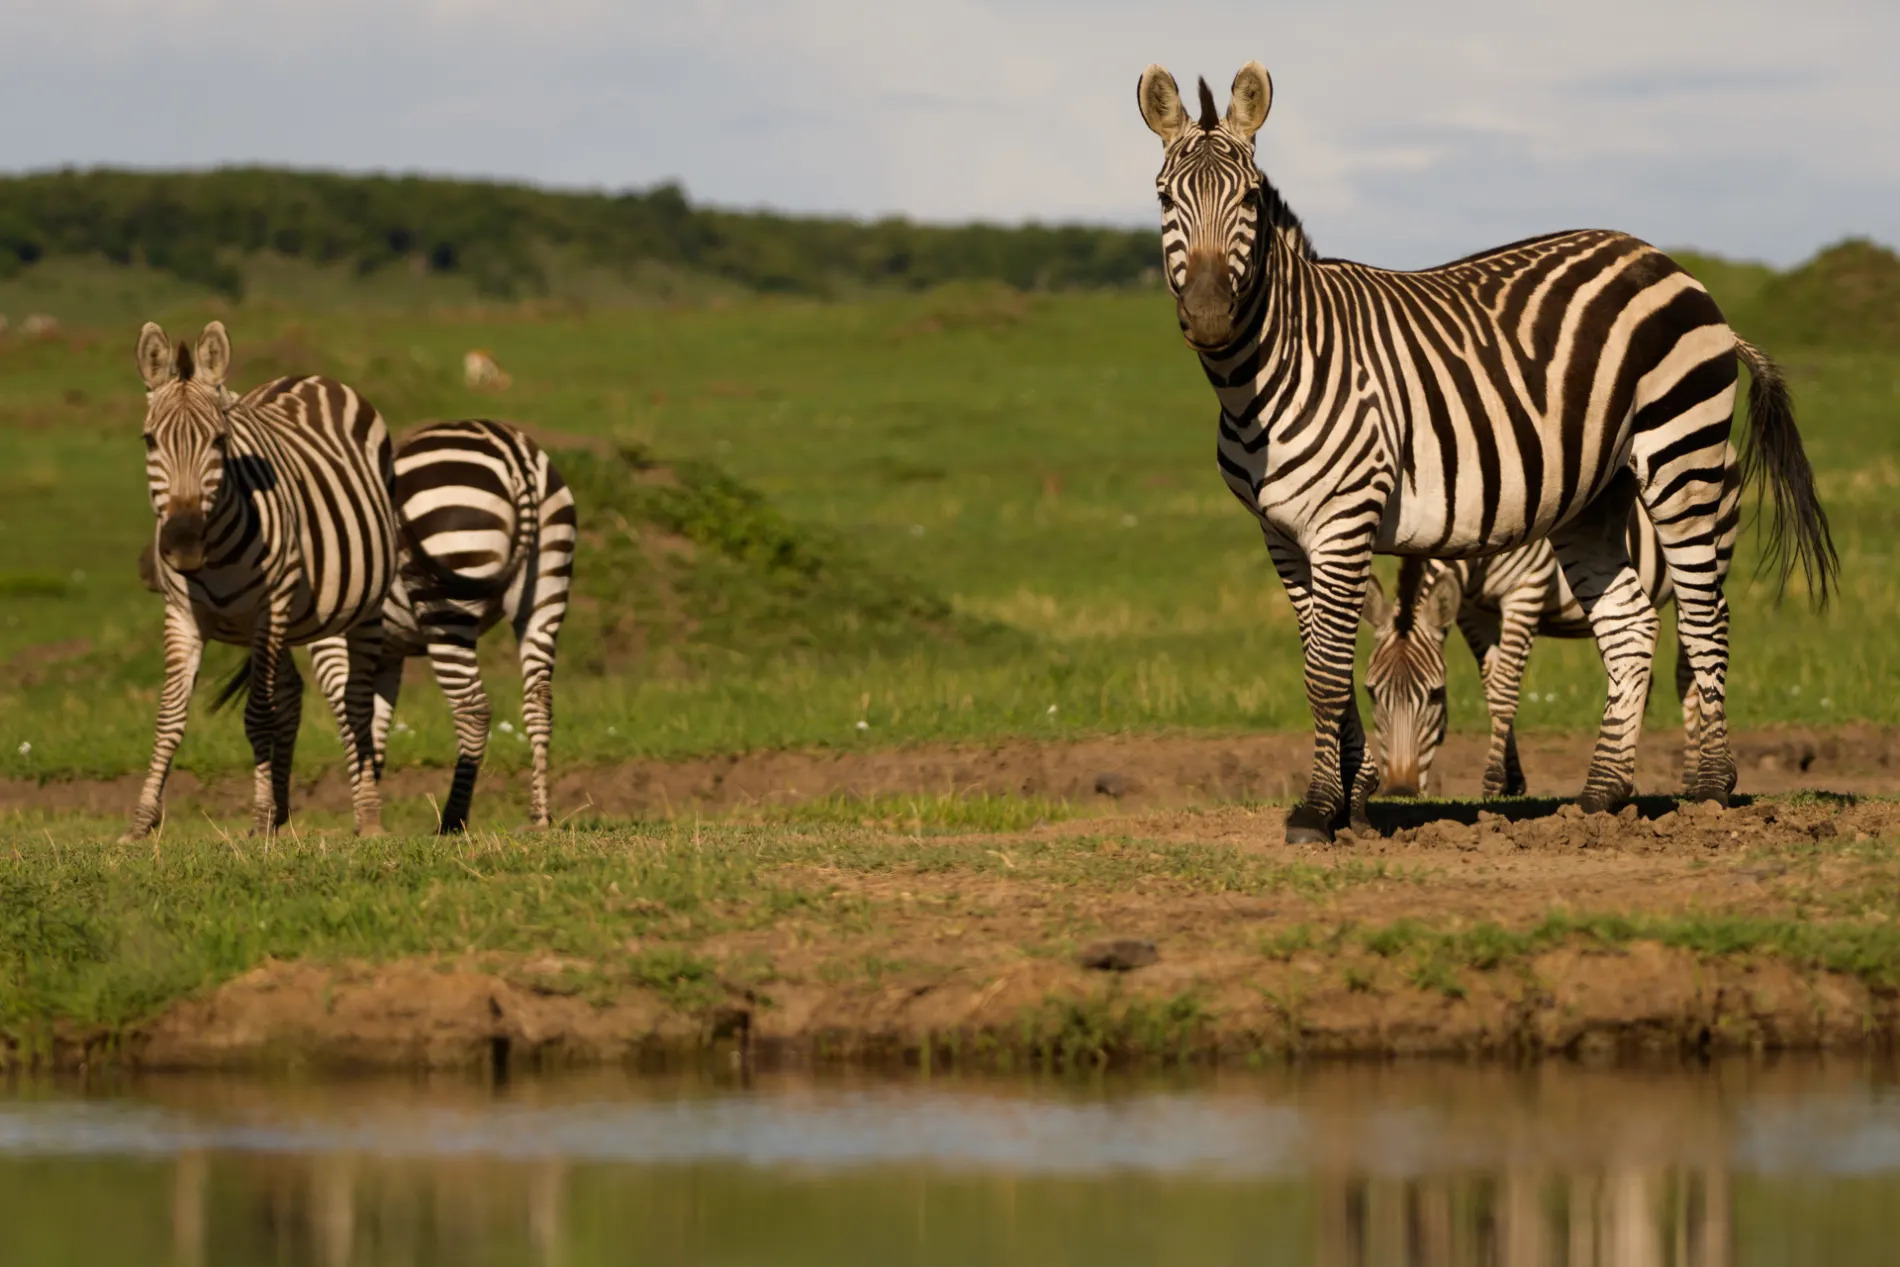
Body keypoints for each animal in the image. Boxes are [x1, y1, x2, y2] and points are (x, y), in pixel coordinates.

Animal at [127, 322, 397, 843]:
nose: (183, 544)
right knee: (291, 692)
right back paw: (280, 814)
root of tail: (310, 377)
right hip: (297, 618)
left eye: (218, 441)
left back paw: (368, 816)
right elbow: (170, 715)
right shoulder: (182, 614)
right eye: (150, 441)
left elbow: (258, 714)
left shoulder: (267, 610)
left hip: (363, 605)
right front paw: (141, 822)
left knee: (355, 701)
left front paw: (256, 814)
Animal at [1360, 461, 1740, 797]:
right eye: (1372, 693)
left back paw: (1693, 777)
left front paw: (1493, 780)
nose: (1400, 791)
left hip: (1705, 559)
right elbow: (1491, 685)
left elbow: (1504, 689)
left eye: (1436, 694)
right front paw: (1512, 780)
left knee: (1690, 669)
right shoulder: (1471, 610)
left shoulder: (1526, 591)